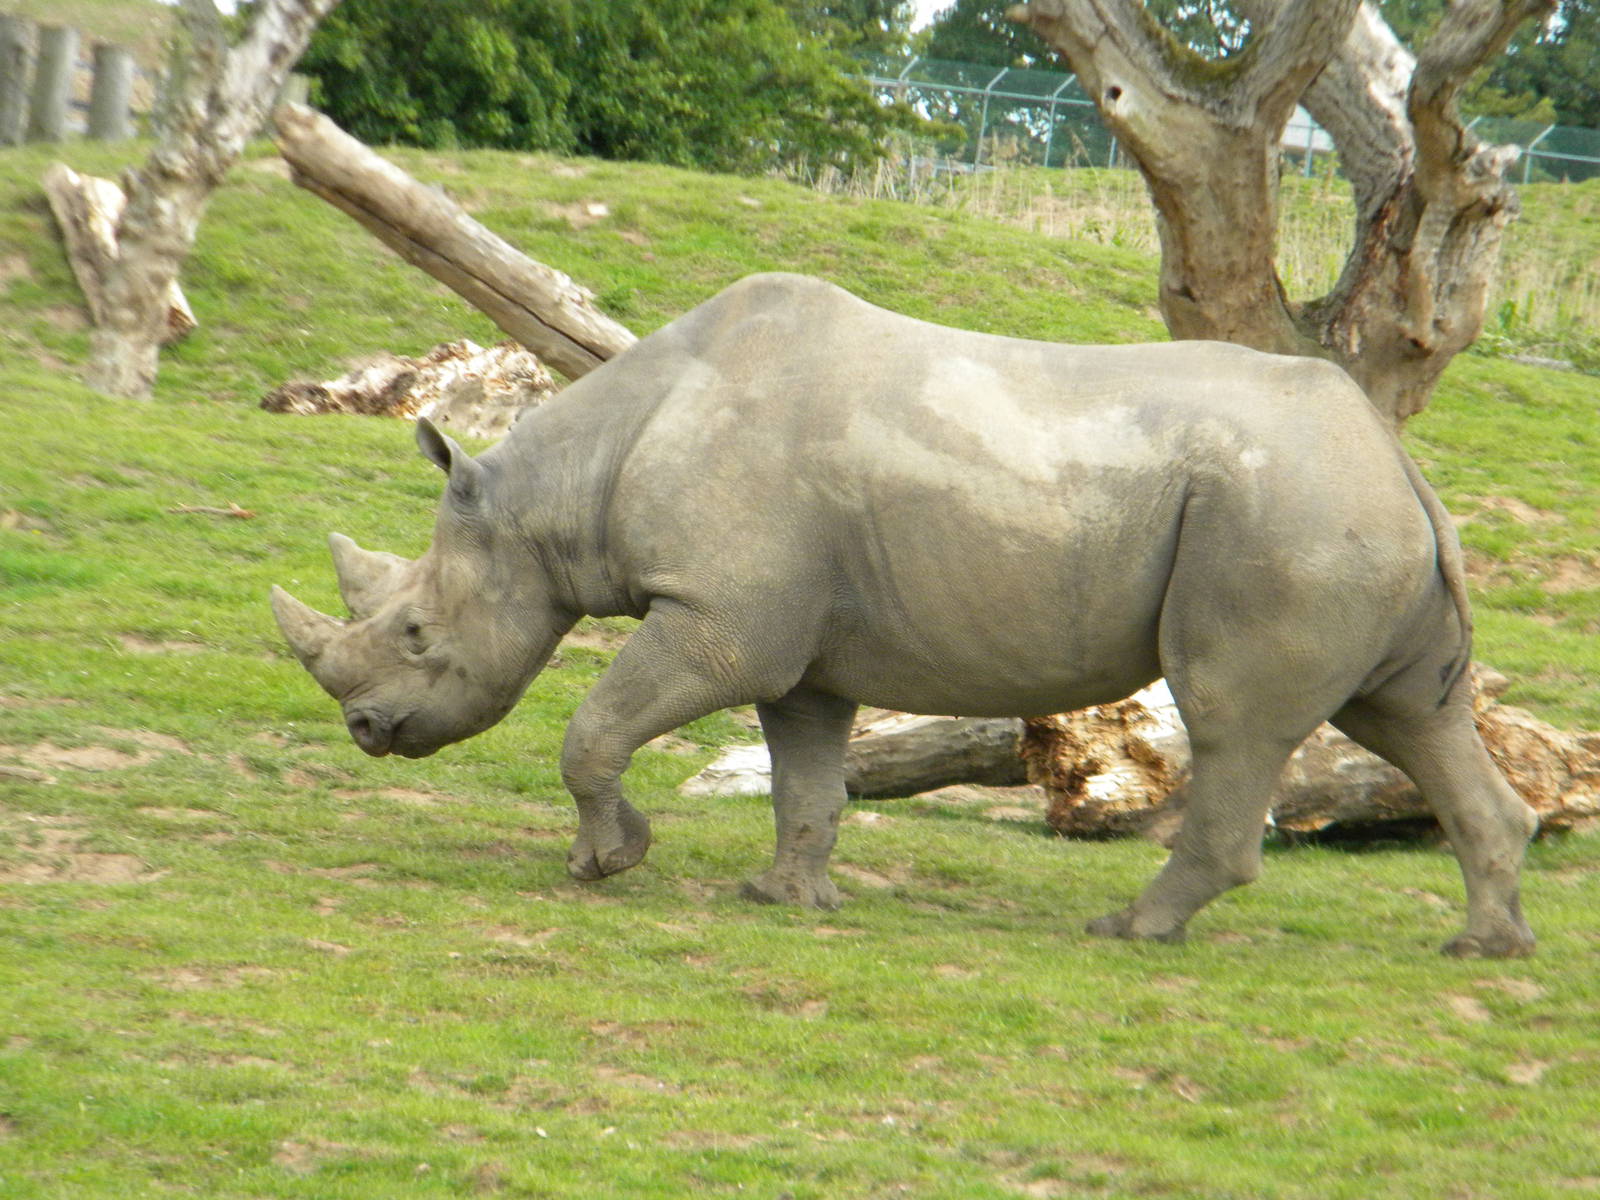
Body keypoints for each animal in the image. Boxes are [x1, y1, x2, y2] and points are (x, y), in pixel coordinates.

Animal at [272, 273, 1538, 957]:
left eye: (417, 636)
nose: (365, 732)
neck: (552, 498)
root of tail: (1392, 455)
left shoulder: (720, 618)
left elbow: (595, 729)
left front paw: (605, 866)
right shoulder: (797, 646)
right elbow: (807, 778)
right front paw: (783, 897)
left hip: (1289, 513)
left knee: (1236, 719)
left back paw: (1128, 934)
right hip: (1337, 515)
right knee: (1405, 718)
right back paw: (1480, 945)